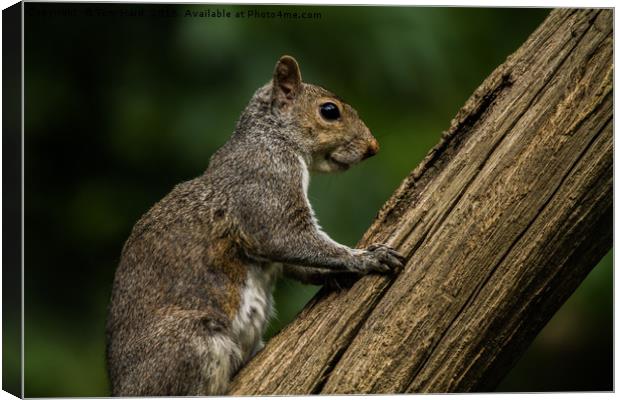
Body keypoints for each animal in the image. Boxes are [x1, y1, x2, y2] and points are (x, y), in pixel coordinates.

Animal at [105, 54, 406, 396]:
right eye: (329, 111)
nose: (374, 147)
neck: (271, 137)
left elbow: (295, 263)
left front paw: (335, 273)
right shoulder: (263, 186)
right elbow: (285, 239)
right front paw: (366, 258)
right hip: (187, 344)